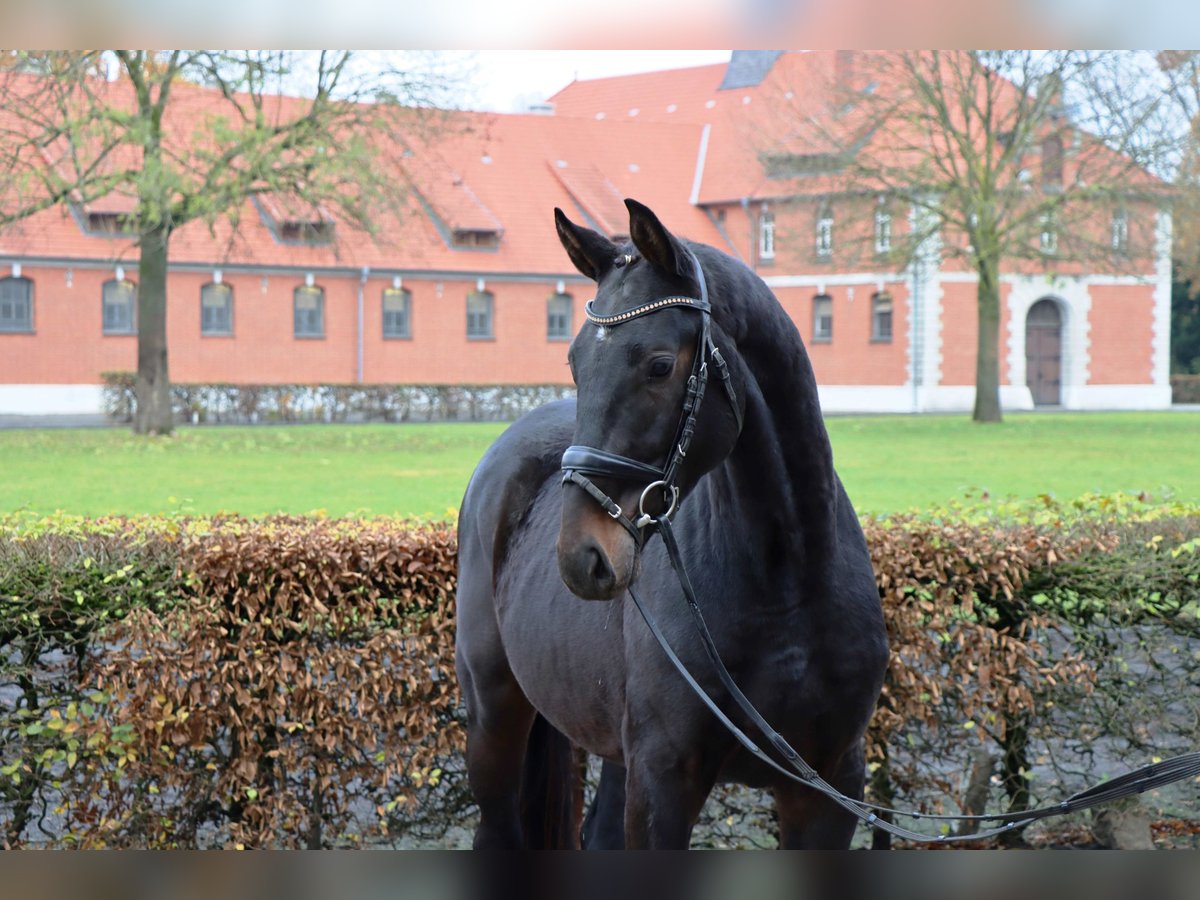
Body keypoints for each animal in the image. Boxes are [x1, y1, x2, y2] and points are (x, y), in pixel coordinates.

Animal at [453, 200, 888, 849]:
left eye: (659, 365)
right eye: (575, 362)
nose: (582, 555)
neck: (788, 578)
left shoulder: (829, 786)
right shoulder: (663, 780)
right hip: (494, 719)